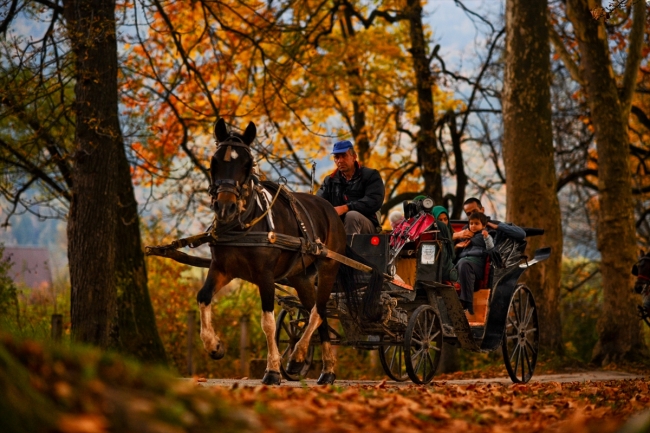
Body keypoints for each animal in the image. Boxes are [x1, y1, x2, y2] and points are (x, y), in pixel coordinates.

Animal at [197, 117, 380, 382]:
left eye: (247, 164)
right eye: (214, 162)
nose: (225, 207)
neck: (244, 224)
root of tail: (330, 210)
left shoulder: (265, 276)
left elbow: (268, 322)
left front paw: (273, 370)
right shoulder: (222, 269)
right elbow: (203, 297)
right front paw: (214, 346)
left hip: (328, 267)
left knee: (318, 311)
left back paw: (299, 356)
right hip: (300, 277)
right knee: (317, 312)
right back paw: (323, 368)